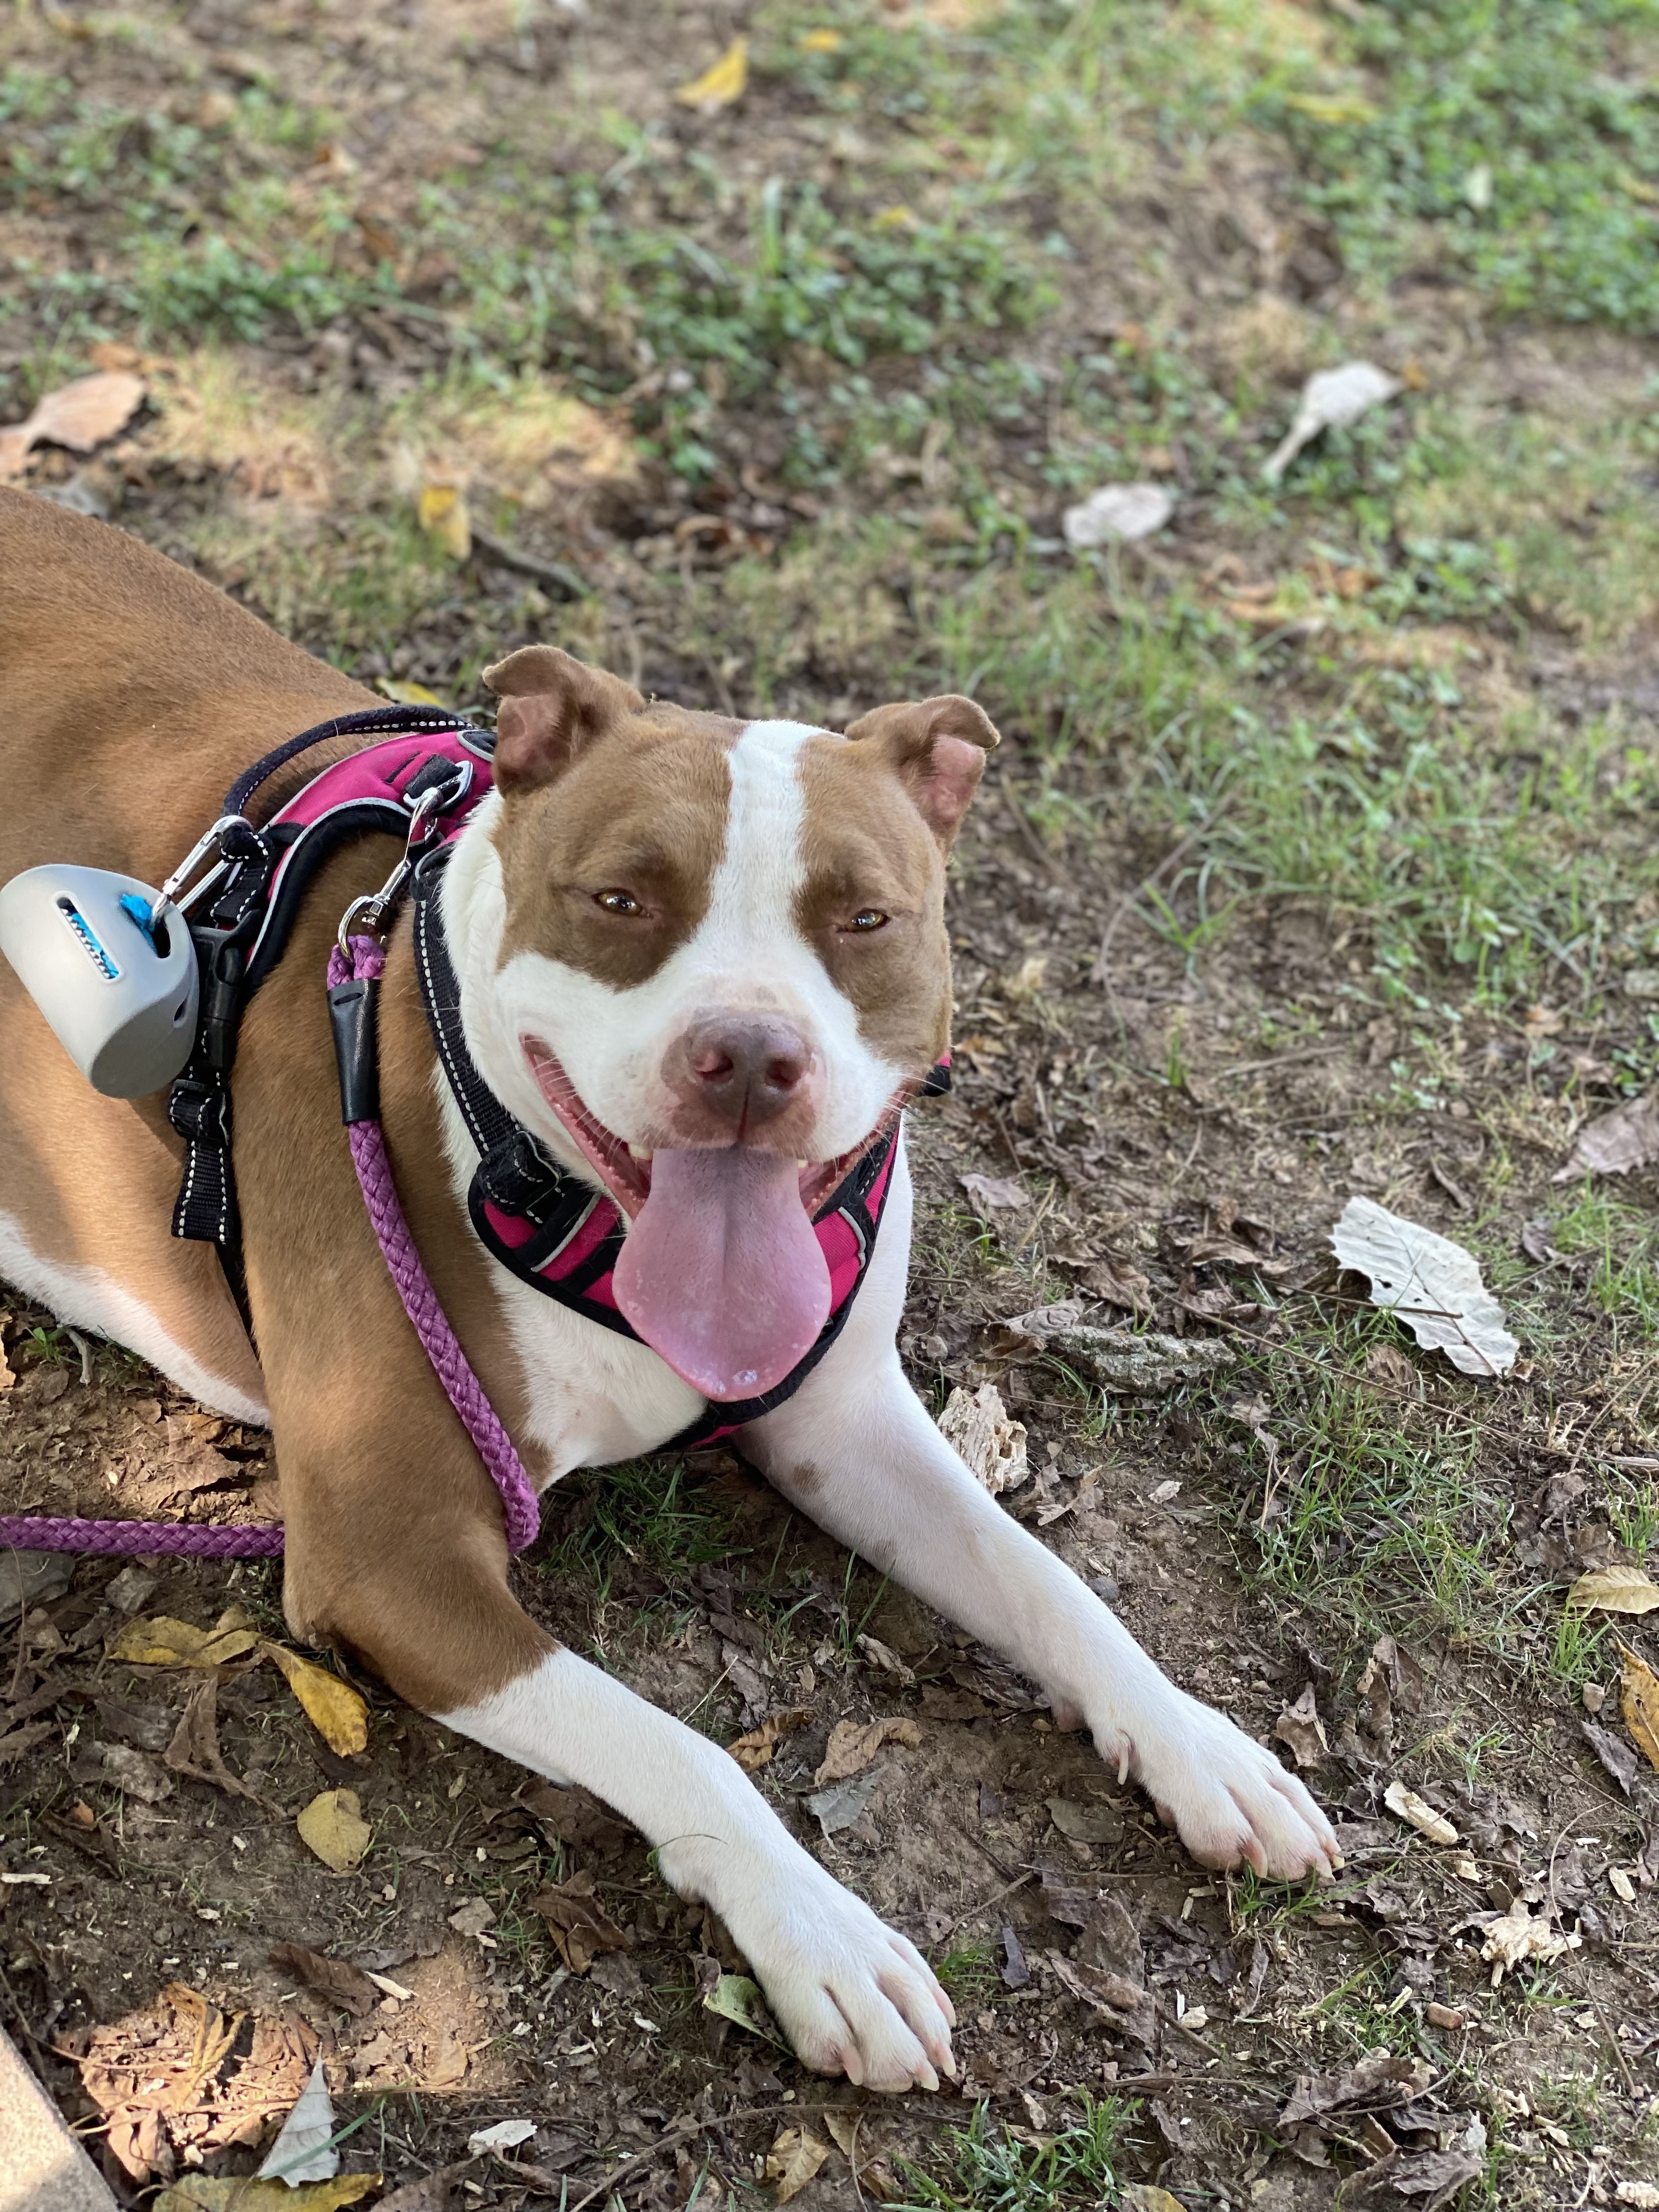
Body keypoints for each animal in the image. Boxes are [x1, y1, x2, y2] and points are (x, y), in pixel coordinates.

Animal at [0, 493, 1336, 2097]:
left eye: (866, 921)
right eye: (622, 898)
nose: (749, 1056)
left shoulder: (840, 1418)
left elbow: (1049, 1581)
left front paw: (1203, 1745)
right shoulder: (395, 1561)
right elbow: (680, 1744)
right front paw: (825, 1938)